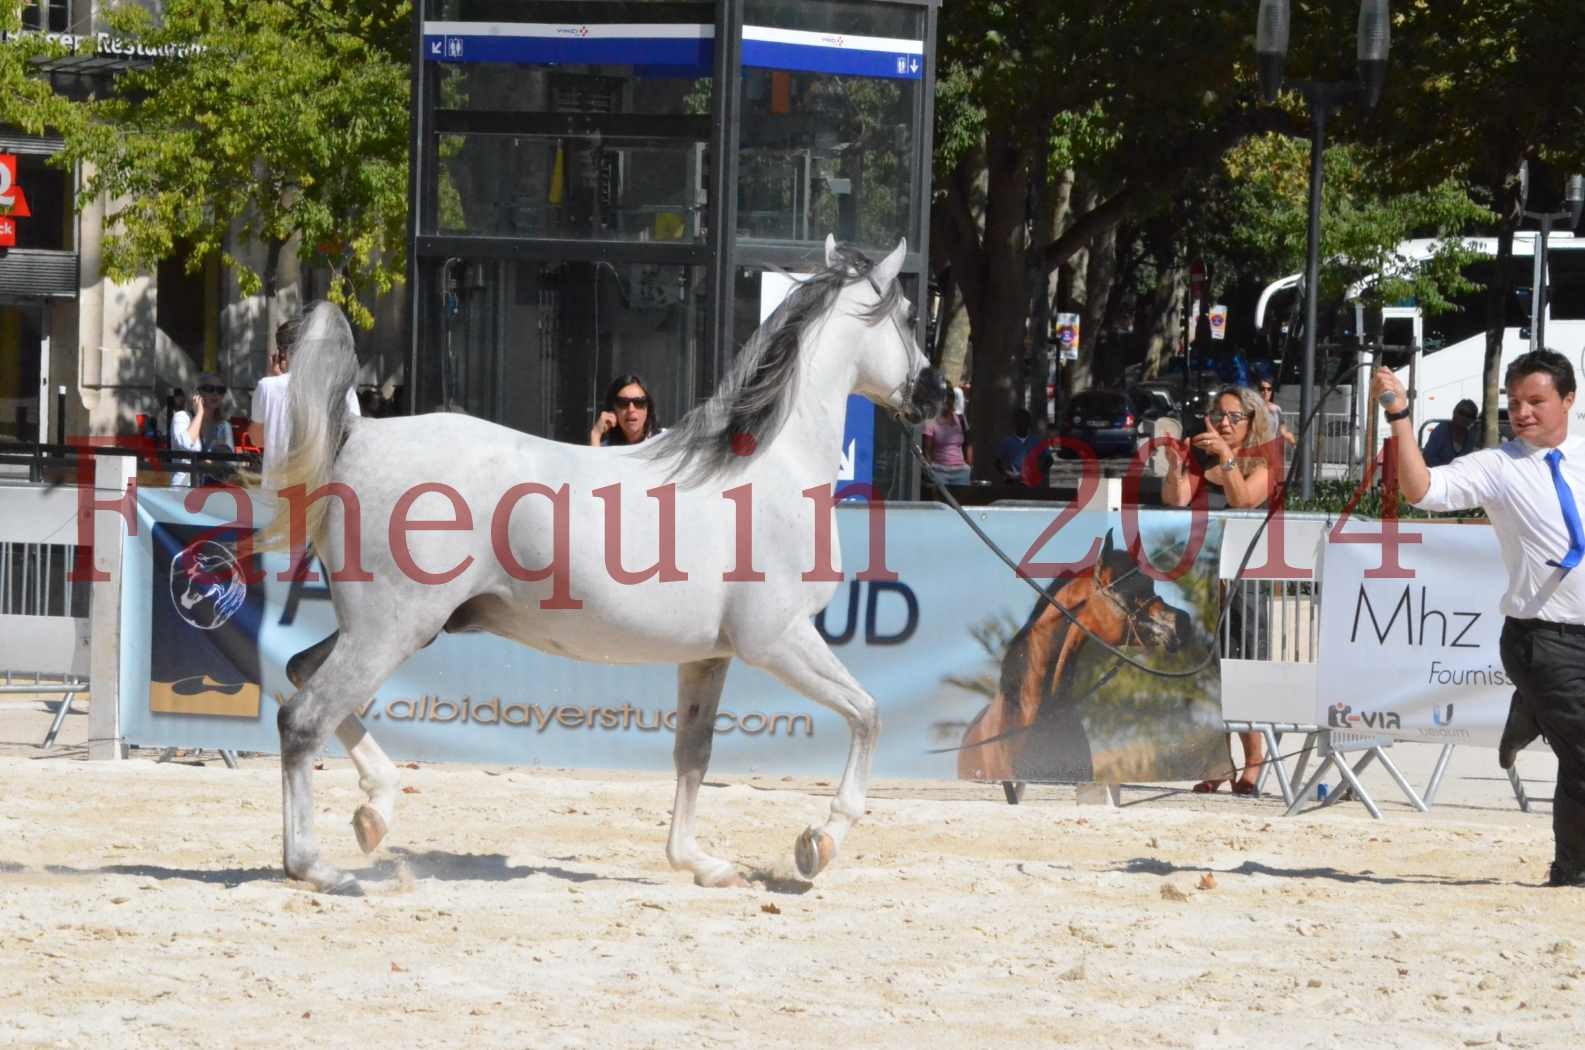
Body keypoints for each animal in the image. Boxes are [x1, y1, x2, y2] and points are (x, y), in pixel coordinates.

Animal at [274, 237, 944, 894]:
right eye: (912, 315)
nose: (940, 395)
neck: (769, 471)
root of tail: (361, 434)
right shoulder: (778, 641)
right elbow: (867, 714)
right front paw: (818, 843)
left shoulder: (711, 656)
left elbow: (694, 753)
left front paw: (699, 863)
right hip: (392, 630)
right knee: (302, 719)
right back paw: (318, 867)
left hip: (389, 628)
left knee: (300, 672)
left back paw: (374, 811)